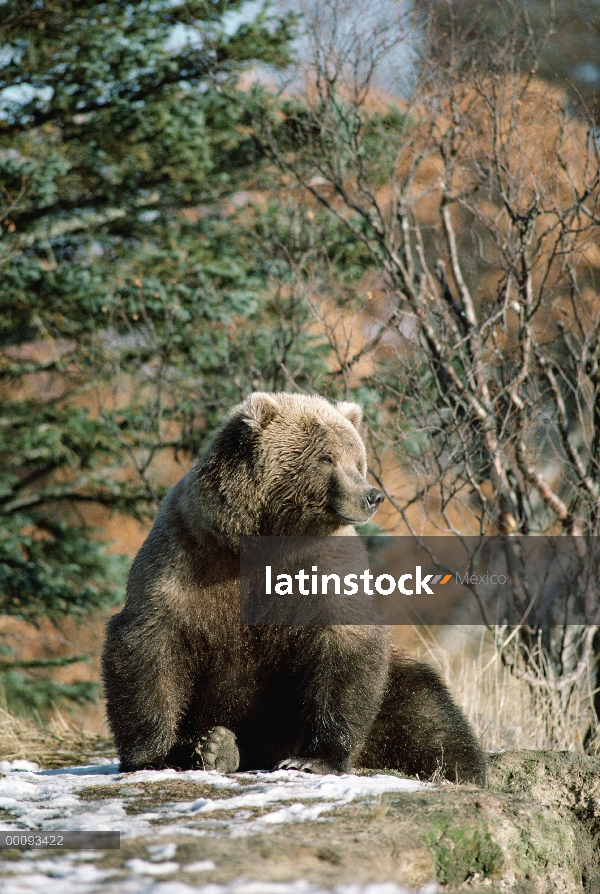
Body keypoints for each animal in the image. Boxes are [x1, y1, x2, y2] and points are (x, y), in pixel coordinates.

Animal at [102, 392, 488, 784]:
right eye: (326, 457)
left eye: (357, 459)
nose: (372, 495)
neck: (263, 541)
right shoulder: (187, 555)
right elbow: (151, 642)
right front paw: (152, 755)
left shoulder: (324, 570)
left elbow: (344, 652)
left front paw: (314, 758)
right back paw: (214, 747)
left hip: (393, 689)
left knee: (424, 711)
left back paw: (460, 767)